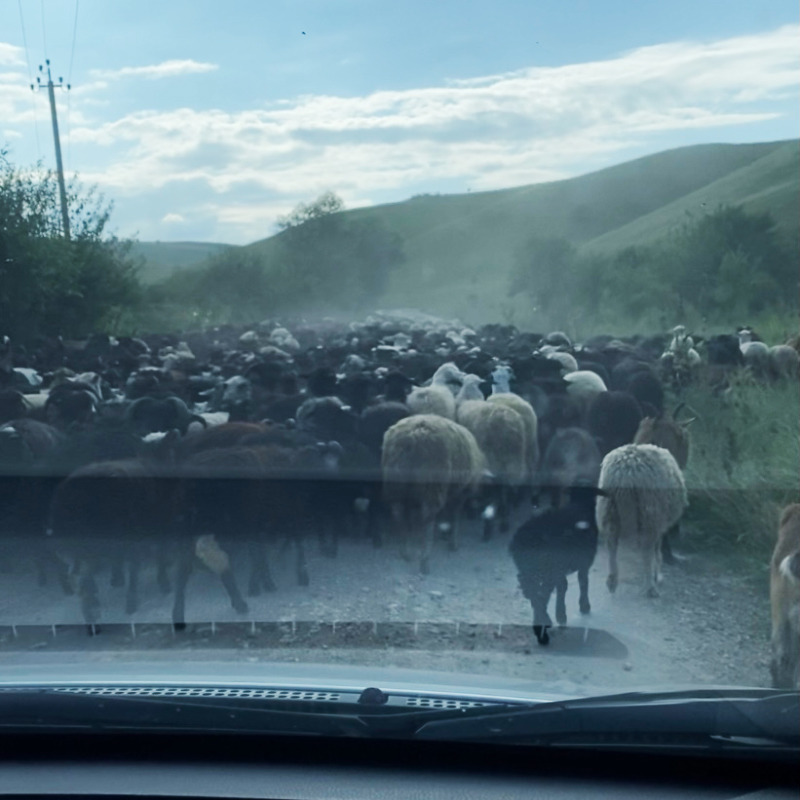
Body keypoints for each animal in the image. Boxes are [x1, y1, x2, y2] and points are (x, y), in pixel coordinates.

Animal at [380, 412, 484, 576]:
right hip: (432, 487)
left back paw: (405, 552)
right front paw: (452, 542)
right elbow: (455, 516)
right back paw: (425, 561)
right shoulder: (460, 492)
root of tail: (414, 435)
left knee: (399, 514)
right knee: (427, 522)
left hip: (396, 486)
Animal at [592, 444, 688, 600]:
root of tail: (625, 472)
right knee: (647, 550)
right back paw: (650, 587)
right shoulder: (659, 522)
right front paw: (657, 574)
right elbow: (656, 549)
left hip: (609, 511)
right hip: (649, 513)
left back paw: (612, 581)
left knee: (611, 546)